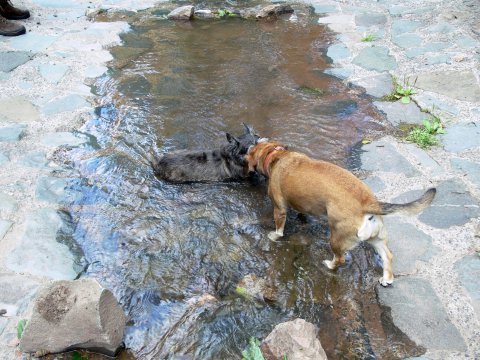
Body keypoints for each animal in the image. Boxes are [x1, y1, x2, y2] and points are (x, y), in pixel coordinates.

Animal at [246, 142, 436, 286]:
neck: (277, 155)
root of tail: (369, 203)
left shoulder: (279, 209)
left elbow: (279, 229)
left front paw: (273, 236)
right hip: (376, 239)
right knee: (387, 255)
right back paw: (387, 278)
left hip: (337, 239)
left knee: (340, 259)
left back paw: (329, 265)